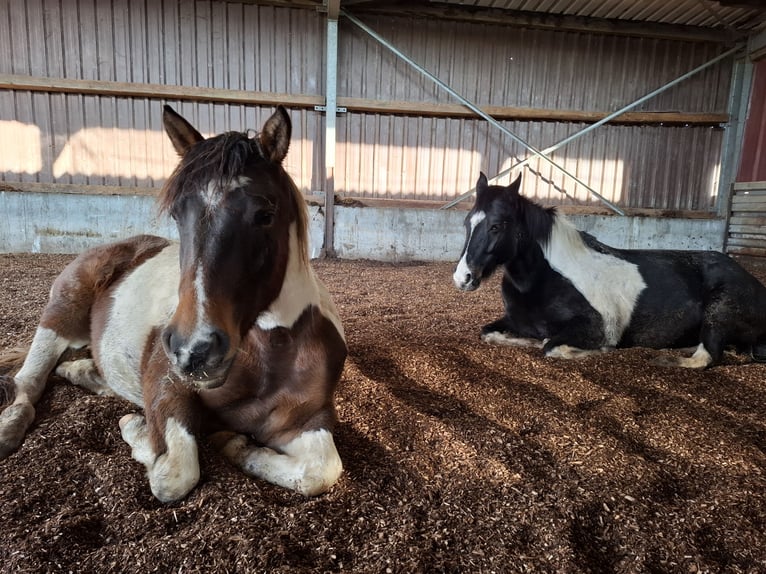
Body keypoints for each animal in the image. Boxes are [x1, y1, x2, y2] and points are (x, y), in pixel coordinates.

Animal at [0, 105, 347, 502]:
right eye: (178, 214)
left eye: (265, 215)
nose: (194, 350)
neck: (270, 354)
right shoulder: (168, 384)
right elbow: (175, 472)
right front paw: (137, 430)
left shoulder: (308, 420)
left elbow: (320, 471)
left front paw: (235, 445)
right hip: (61, 313)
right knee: (28, 380)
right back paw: (10, 427)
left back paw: (86, 374)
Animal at [453, 172, 766, 368]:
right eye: (467, 223)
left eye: (496, 226)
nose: (463, 277)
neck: (544, 279)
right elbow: (489, 333)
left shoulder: (593, 326)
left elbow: (551, 346)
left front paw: (597, 350)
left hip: (718, 312)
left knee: (707, 356)